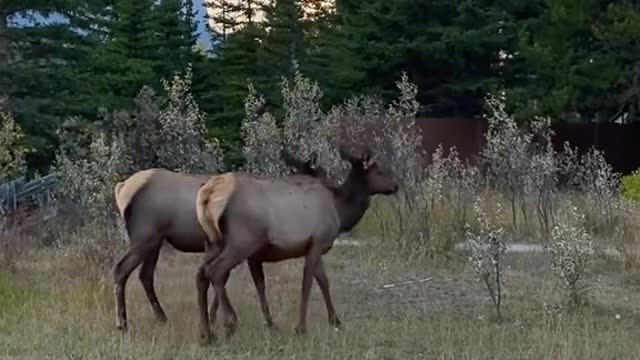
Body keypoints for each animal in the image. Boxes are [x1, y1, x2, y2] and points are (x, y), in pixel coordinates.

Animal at [109, 153, 324, 330]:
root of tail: (121, 188)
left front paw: (212, 318)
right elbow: (238, 279)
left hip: (155, 241)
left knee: (145, 275)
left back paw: (162, 318)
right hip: (145, 235)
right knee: (121, 269)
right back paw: (122, 323)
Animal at [195, 146, 398, 344]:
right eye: (379, 170)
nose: (395, 185)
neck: (341, 212)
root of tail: (209, 193)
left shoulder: (312, 247)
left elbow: (323, 281)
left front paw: (335, 320)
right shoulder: (317, 242)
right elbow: (307, 284)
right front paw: (301, 328)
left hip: (213, 243)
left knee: (201, 274)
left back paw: (207, 333)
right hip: (243, 241)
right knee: (216, 270)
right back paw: (230, 323)